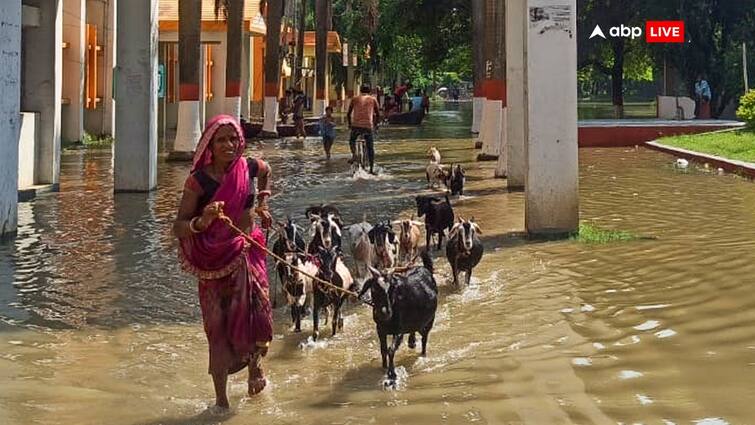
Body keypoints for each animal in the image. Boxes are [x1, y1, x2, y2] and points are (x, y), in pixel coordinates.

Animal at [358, 250, 438, 380]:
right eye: (374, 289)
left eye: (391, 289)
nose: (385, 312)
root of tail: (426, 270)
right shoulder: (380, 329)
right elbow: (383, 350)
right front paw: (384, 367)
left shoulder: (399, 331)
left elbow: (391, 350)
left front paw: (392, 374)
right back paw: (412, 342)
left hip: (429, 321)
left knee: (424, 338)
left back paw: (422, 354)